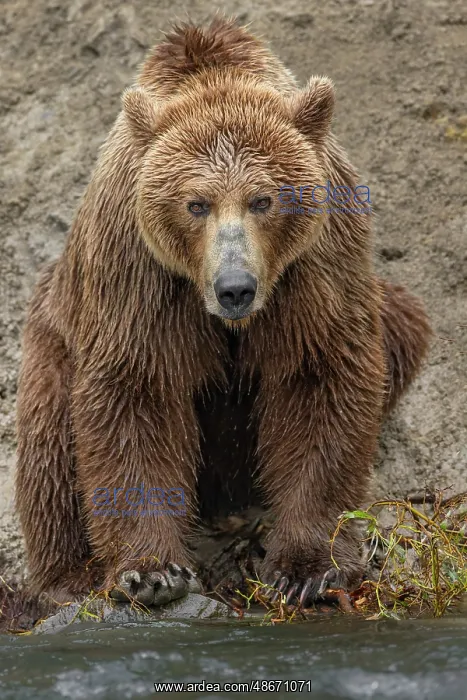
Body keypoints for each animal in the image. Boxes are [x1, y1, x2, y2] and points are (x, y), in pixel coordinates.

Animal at [15, 16, 431, 608]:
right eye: (196, 203)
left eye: (263, 199)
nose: (236, 287)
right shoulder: (141, 275)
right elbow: (136, 393)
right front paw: (153, 572)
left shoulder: (314, 268)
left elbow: (320, 380)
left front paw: (308, 568)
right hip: (56, 325)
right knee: (49, 438)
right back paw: (67, 578)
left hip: (382, 303)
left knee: (402, 323)